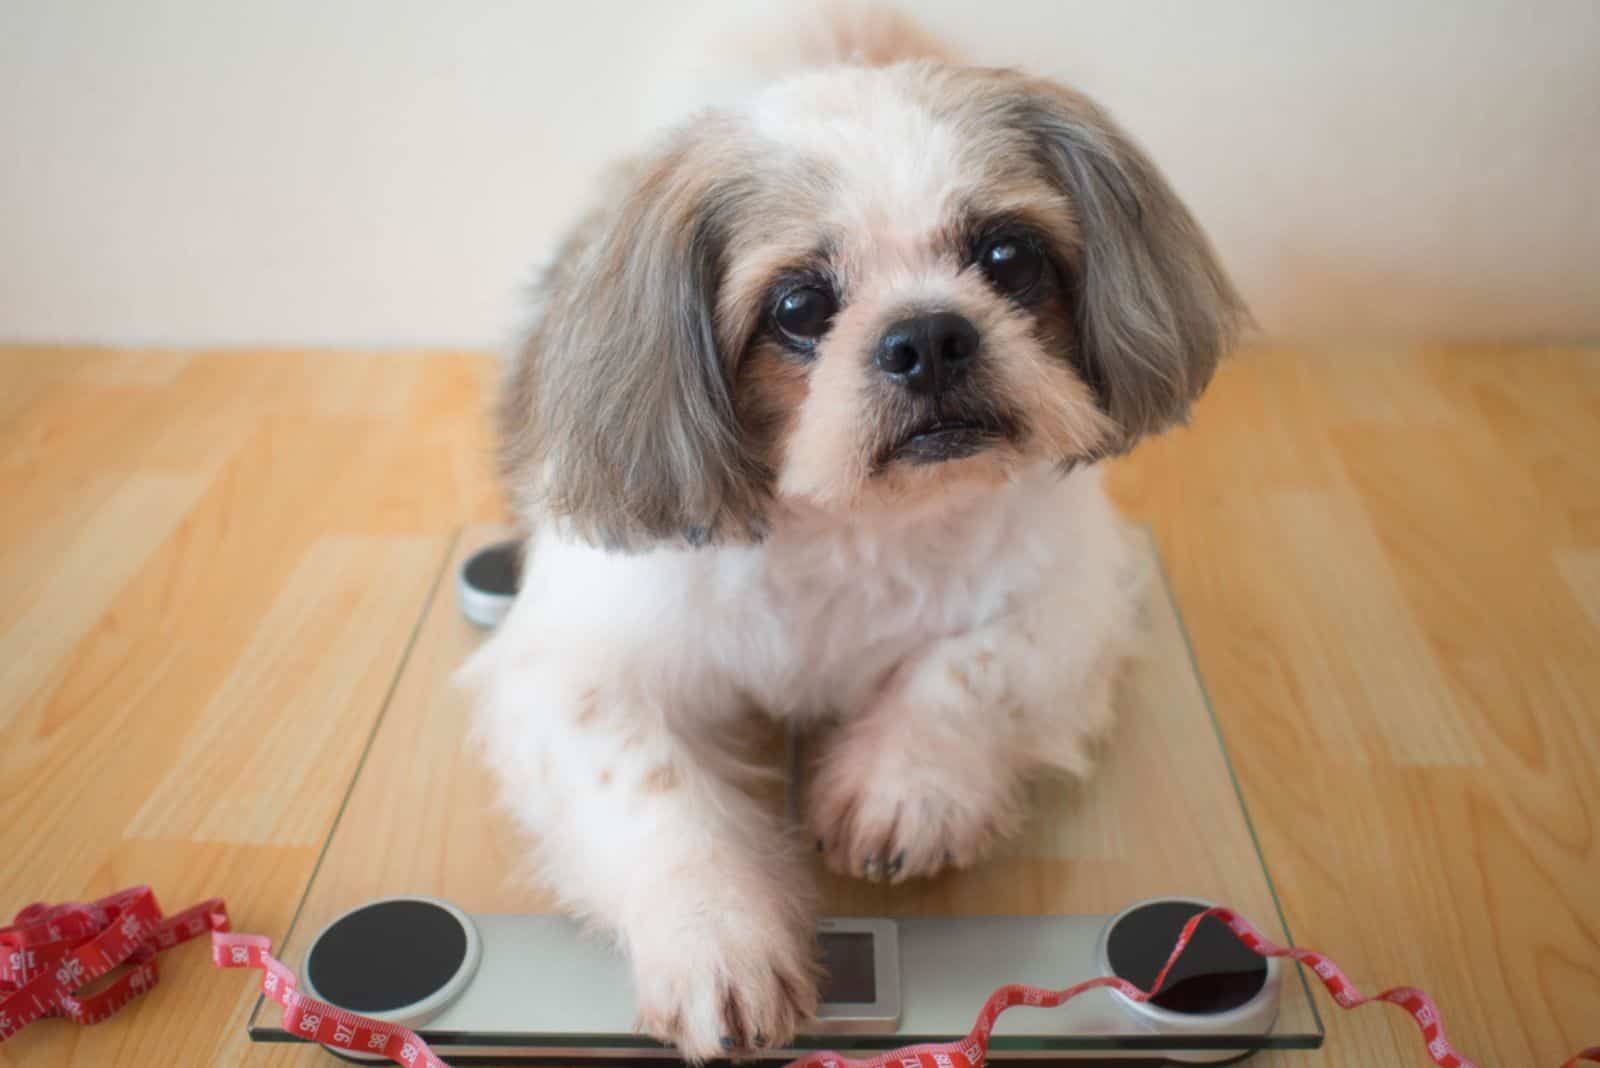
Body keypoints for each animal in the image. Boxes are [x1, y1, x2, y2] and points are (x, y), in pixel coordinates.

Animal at [457, 6, 1241, 1061]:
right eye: (800, 306)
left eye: (1007, 258)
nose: (930, 335)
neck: (854, 527)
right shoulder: (573, 671)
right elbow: (651, 788)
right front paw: (718, 935)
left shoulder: (1071, 596)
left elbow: (968, 669)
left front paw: (903, 785)